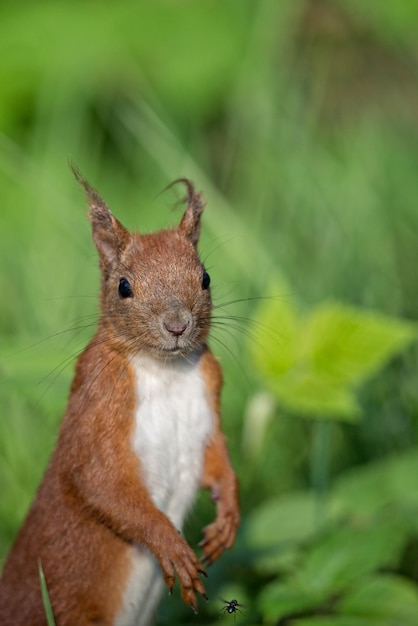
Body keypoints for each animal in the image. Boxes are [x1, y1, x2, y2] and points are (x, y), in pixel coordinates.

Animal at [0, 171, 238, 624]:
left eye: (205, 278)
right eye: (124, 286)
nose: (177, 324)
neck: (167, 372)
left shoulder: (208, 401)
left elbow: (217, 459)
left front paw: (228, 516)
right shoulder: (98, 402)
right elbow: (98, 483)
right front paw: (172, 548)